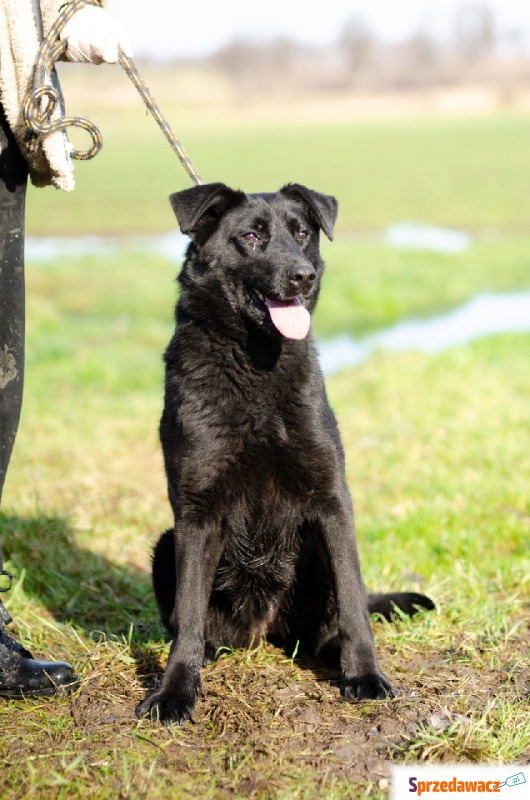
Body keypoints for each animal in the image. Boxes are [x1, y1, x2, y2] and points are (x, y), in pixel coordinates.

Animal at [134, 183, 432, 724]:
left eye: (302, 233)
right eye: (251, 236)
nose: (303, 275)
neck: (257, 363)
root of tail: (264, 632)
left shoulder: (332, 502)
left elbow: (354, 603)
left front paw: (365, 675)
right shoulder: (196, 512)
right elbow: (187, 615)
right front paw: (174, 691)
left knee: (336, 618)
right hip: (168, 543)